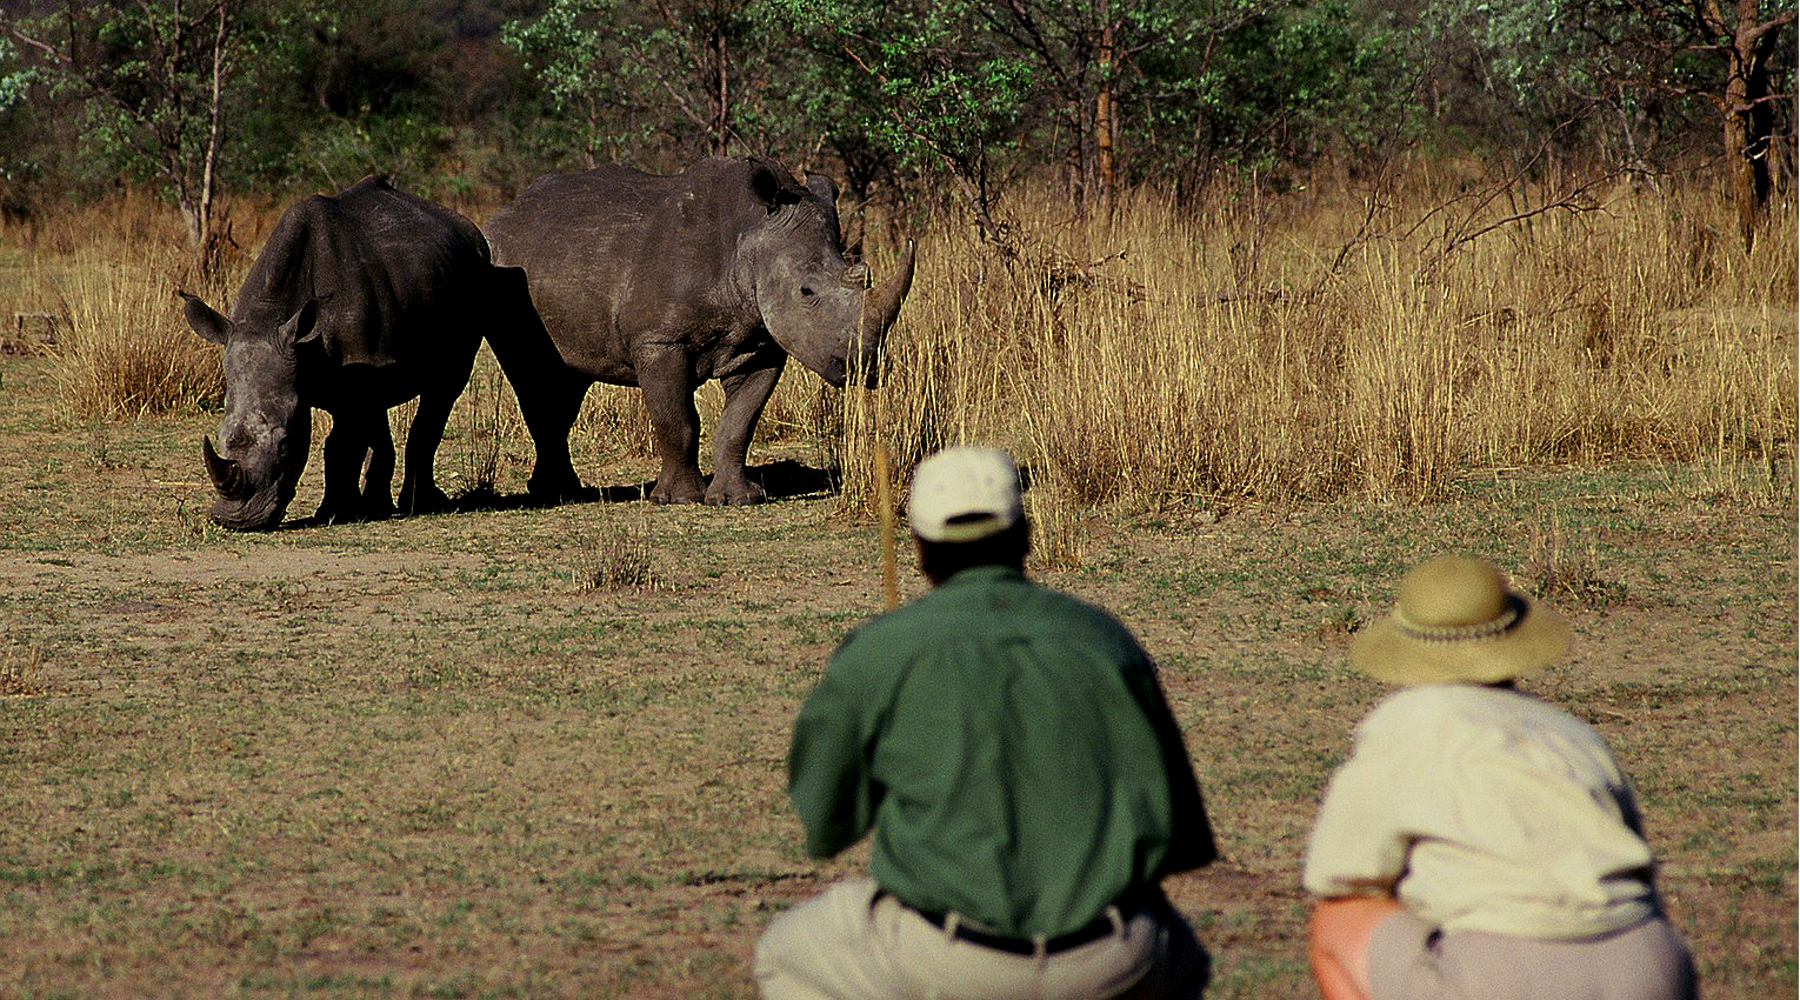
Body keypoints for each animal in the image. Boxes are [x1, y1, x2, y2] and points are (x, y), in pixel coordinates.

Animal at [181, 175, 506, 530]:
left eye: (285, 443)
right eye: (222, 436)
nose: (236, 520)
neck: (271, 317)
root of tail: (467, 228)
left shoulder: (357, 369)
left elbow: (341, 443)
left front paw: (335, 514)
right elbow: (355, 433)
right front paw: (347, 510)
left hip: (479, 279)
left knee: (444, 386)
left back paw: (420, 503)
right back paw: (380, 504)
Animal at [483, 156, 915, 505]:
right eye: (807, 292)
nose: (865, 366)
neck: (749, 236)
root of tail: (504, 214)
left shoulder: (762, 344)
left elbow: (740, 423)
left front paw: (737, 499)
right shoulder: (659, 340)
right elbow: (679, 421)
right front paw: (680, 499)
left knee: (566, 381)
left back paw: (561, 492)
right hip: (505, 266)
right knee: (534, 377)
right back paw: (557, 494)